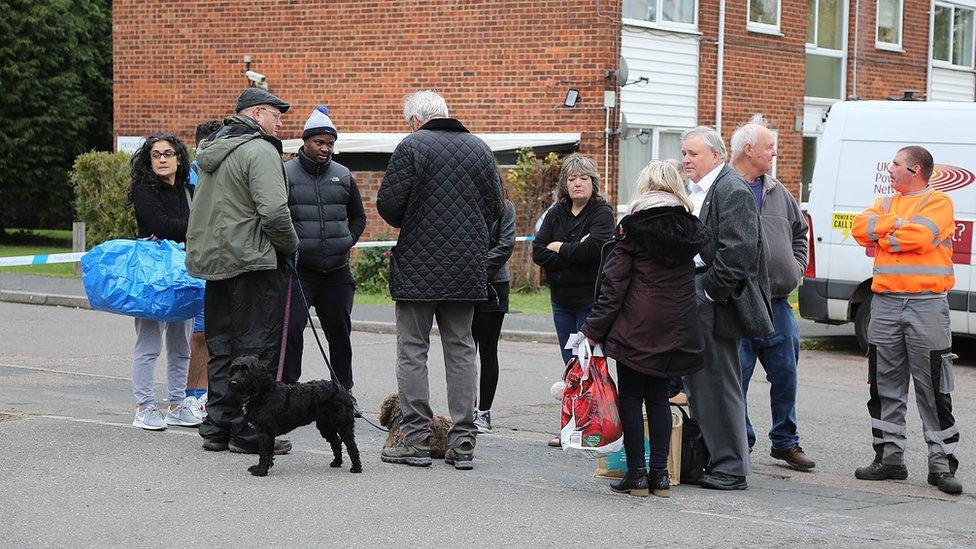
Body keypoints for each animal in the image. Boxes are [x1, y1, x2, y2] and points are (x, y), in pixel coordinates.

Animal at [229, 356, 362, 476]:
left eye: (246, 370)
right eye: (234, 369)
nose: (233, 382)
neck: (264, 392)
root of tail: (341, 389)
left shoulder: (265, 431)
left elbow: (264, 452)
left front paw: (261, 470)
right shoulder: (263, 431)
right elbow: (264, 451)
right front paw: (259, 467)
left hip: (342, 424)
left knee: (351, 445)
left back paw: (356, 468)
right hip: (326, 426)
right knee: (336, 442)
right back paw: (337, 462)